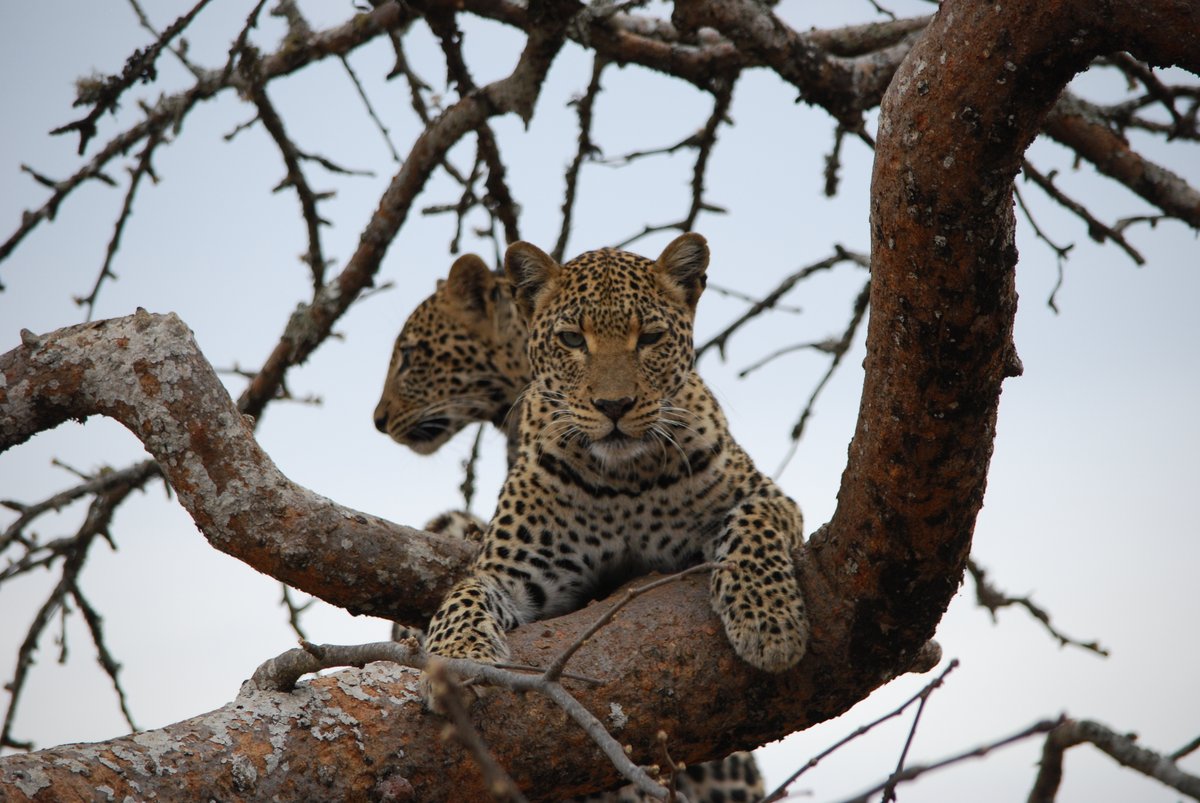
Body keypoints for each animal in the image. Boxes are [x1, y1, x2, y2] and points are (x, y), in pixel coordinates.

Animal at [423, 231, 809, 685]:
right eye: (573, 339)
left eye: (650, 338)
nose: (614, 405)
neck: (625, 478)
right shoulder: (513, 571)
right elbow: (463, 596)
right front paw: (455, 658)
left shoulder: (770, 497)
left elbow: (752, 524)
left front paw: (769, 621)